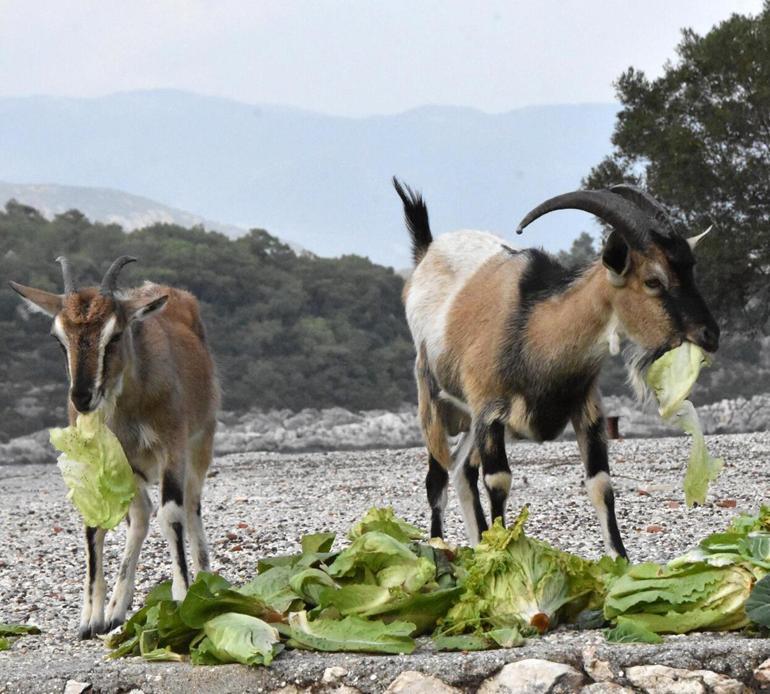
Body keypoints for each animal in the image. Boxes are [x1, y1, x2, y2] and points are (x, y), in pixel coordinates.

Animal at [392, 181, 716, 560]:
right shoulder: (490, 411)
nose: (710, 335)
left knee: (461, 471)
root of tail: (426, 251)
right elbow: (498, 481)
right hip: (432, 397)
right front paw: (502, 555)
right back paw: (439, 547)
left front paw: (620, 561)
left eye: (691, 269)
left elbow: (601, 483)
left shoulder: (587, 409)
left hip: (470, 420)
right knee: (439, 477)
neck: (535, 327)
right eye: (653, 280)